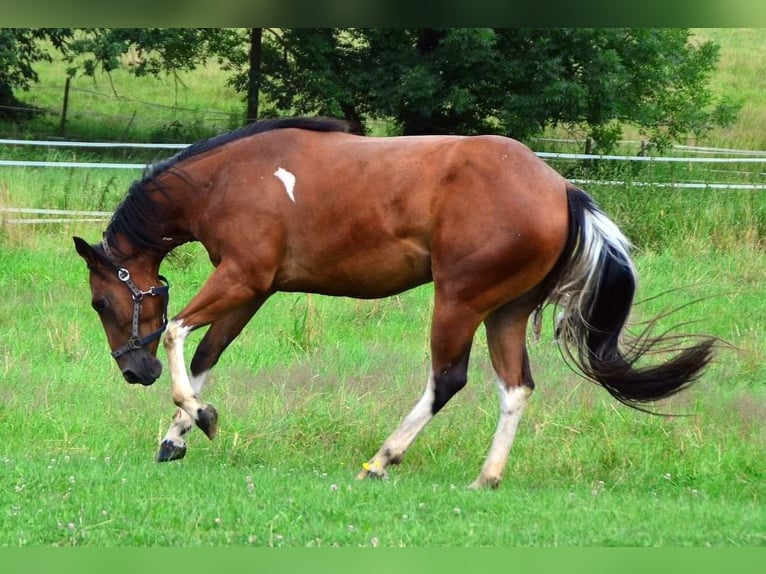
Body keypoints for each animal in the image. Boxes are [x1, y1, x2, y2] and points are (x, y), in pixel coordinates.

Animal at [75, 117, 716, 490]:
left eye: (101, 303)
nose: (135, 371)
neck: (230, 179)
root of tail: (560, 188)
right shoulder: (252, 290)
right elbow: (206, 355)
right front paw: (178, 433)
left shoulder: (241, 278)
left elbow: (178, 334)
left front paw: (196, 416)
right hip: (504, 312)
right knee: (515, 389)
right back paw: (486, 477)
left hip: (458, 302)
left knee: (447, 380)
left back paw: (383, 459)